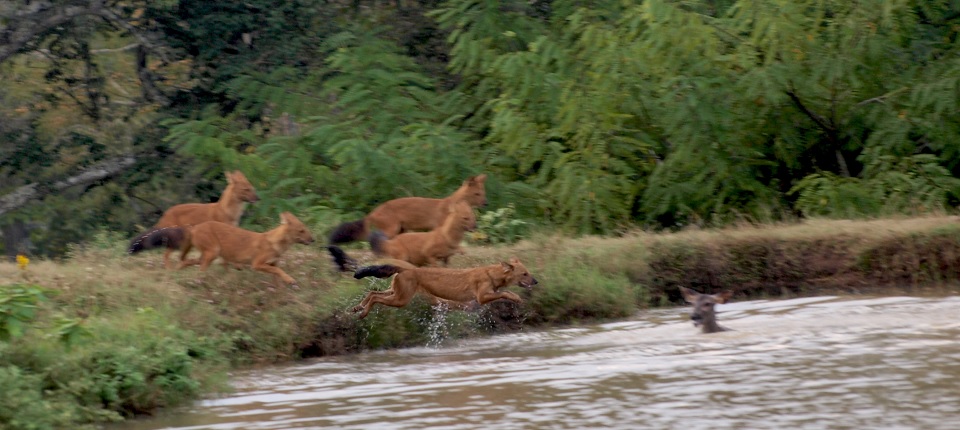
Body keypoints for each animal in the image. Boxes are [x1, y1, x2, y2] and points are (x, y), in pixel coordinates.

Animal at [130, 212, 312, 288]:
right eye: (301, 230)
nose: (313, 239)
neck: (276, 244)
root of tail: (194, 227)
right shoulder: (257, 264)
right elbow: (279, 271)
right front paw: (290, 280)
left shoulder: (272, 263)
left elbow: (277, 274)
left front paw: (281, 287)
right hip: (213, 251)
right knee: (198, 268)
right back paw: (199, 281)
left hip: (208, 254)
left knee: (187, 261)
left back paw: (178, 270)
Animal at [131, 170, 260, 268]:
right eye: (246, 189)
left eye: (252, 188)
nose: (258, 198)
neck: (229, 213)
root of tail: (166, 213)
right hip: (180, 241)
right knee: (169, 256)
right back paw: (171, 270)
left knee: (179, 257)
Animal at [330, 173, 492, 244]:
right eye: (477, 194)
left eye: (483, 193)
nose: (486, 203)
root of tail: (372, 213)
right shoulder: (439, 227)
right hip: (392, 229)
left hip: (401, 230)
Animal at [348, 255, 536, 320]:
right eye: (525, 274)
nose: (536, 281)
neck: (491, 274)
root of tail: (405, 268)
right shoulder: (482, 297)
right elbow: (505, 292)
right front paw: (517, 298)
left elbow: (503, 291)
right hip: (401, 299)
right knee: (375, 297)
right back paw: (363, 313)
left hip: (396, 292)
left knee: (371, 292)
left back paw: (357, 308)